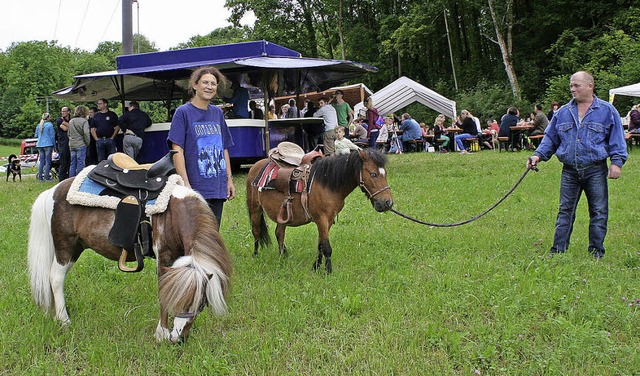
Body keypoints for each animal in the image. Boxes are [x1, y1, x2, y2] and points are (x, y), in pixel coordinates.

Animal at [28, 179, 232, 344]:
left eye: (202, 303)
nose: (178, 339)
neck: (174, 214)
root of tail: (53, 191)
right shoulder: (163, 258)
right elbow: (162, 294)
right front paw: (161, 334)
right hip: (66, 248)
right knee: (55, 278)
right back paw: (64, 320)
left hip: (76, 247)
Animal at [246, 148, 392, 274]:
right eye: (373, 174)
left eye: (385, 173)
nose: (387, 203)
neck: (327, 183)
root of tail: (255, 166)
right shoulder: (321, 219)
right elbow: (326, 247)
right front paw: (328, 271)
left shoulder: (329, 220)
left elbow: (320, 245)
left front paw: (316, 266)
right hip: (255, 209)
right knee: (256, 232)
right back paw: (255, 256)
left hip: (282, 214)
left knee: (279, 233)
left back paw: (283, 256)